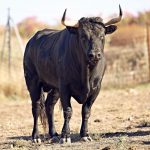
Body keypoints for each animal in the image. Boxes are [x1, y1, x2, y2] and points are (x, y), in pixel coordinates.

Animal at [23, 6, 122, 144]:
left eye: (102, 35)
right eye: (83, 36)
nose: (95, 55)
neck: (86, 72)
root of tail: (31, 42)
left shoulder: (96, 89)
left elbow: (86, 111)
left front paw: (85, 134)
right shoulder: (65, 87)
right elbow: (68, 111)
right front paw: (65, 136)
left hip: (54, 88)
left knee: (49, 105)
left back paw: (54, 134)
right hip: (33, 82)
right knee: (36, 107)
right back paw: (36, 137)